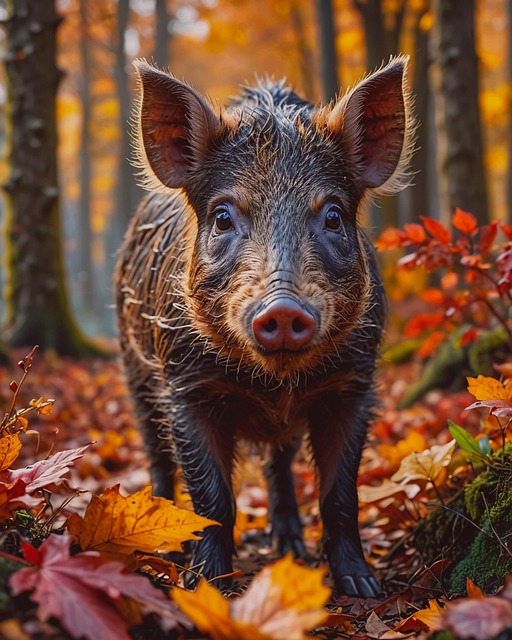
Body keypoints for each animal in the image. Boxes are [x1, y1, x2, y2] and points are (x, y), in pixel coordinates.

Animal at [115, 56, 414, 597]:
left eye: (333, 215)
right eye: (222, 216)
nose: (283, 309)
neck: (272, 387)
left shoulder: (354, 385)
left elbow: (341, 493)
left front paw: (361, 587)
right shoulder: (183, 386)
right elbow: (213, 497)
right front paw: (203, 584)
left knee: (279, 464)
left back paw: (290, 546)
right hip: (134, 374)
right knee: (156, 456)